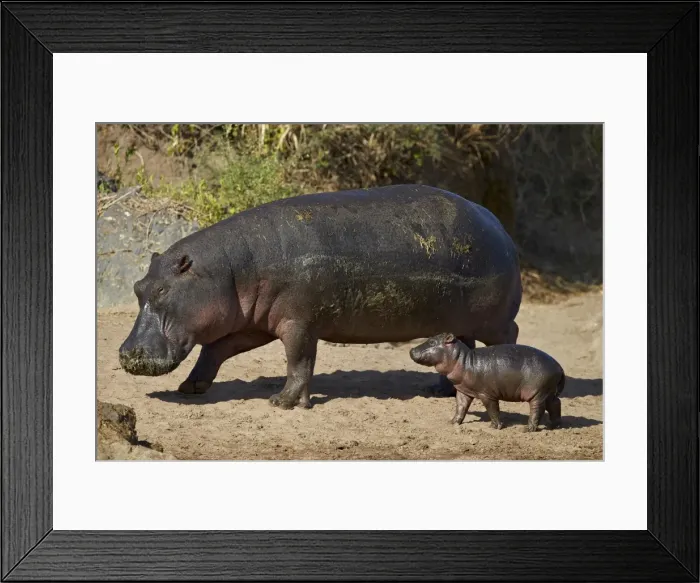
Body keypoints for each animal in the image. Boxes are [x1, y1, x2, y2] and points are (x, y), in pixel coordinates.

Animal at [119, 184, 522, 410]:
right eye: (138, 287)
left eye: (163, 290)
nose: (126, 354)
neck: (230, 269)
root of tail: (499, 225)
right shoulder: (253, 323)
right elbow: (216, 349)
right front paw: (190, 387)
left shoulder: (298, 323)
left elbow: (298, 362)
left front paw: (282, 403)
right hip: (458, 319)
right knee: (461, 343)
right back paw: (438, 390)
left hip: (495, 321)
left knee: (508, 337)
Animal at [409, 333, 565, 431]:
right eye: (430, 338)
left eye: (432, 342)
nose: (411, 349)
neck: (463, 360)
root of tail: (559, 366)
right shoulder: (463, 391)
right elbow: (460, 407)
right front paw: (453, 422)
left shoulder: (487, 394)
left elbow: (493, 410)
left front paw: (495, 427)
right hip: (548, 392)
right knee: (555, 404)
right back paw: (554, 426)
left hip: (537, 393)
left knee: (537, 409)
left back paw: (527, 429)